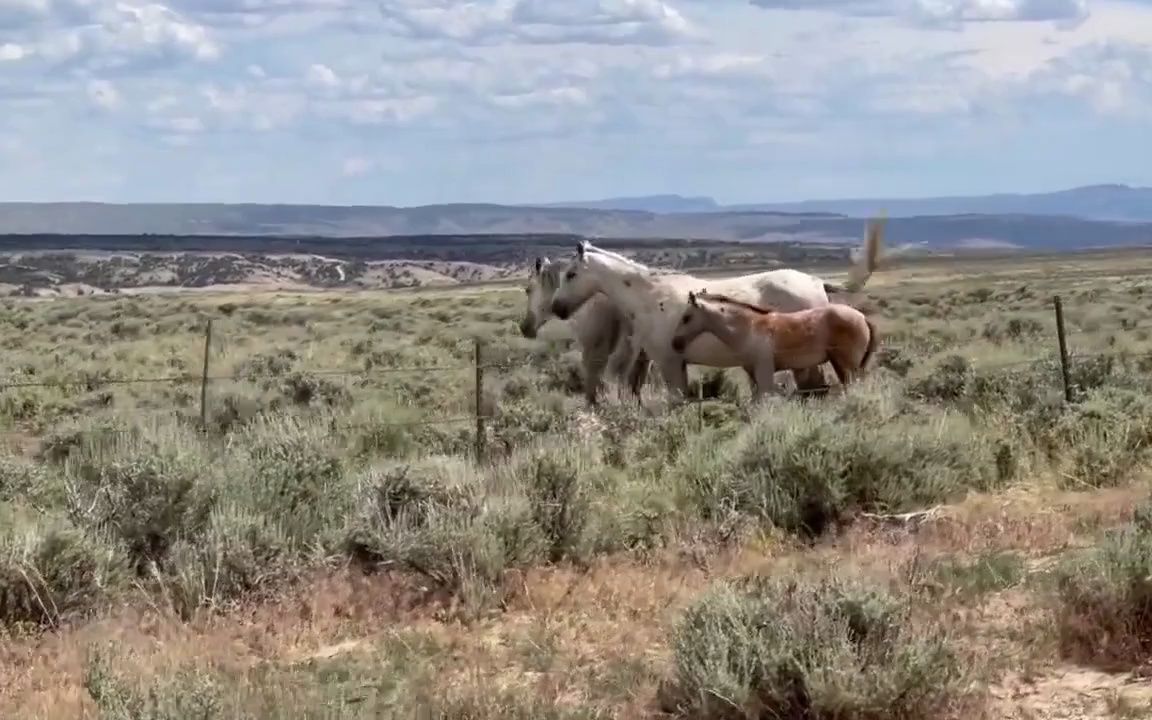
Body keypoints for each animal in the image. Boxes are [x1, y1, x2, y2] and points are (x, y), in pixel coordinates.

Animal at [672, 290, 875, 400]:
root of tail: (863, 317)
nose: (675, 343)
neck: (750, 328)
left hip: (846, 364)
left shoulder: (764, 373)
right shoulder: (753, 375)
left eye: (686, 317)